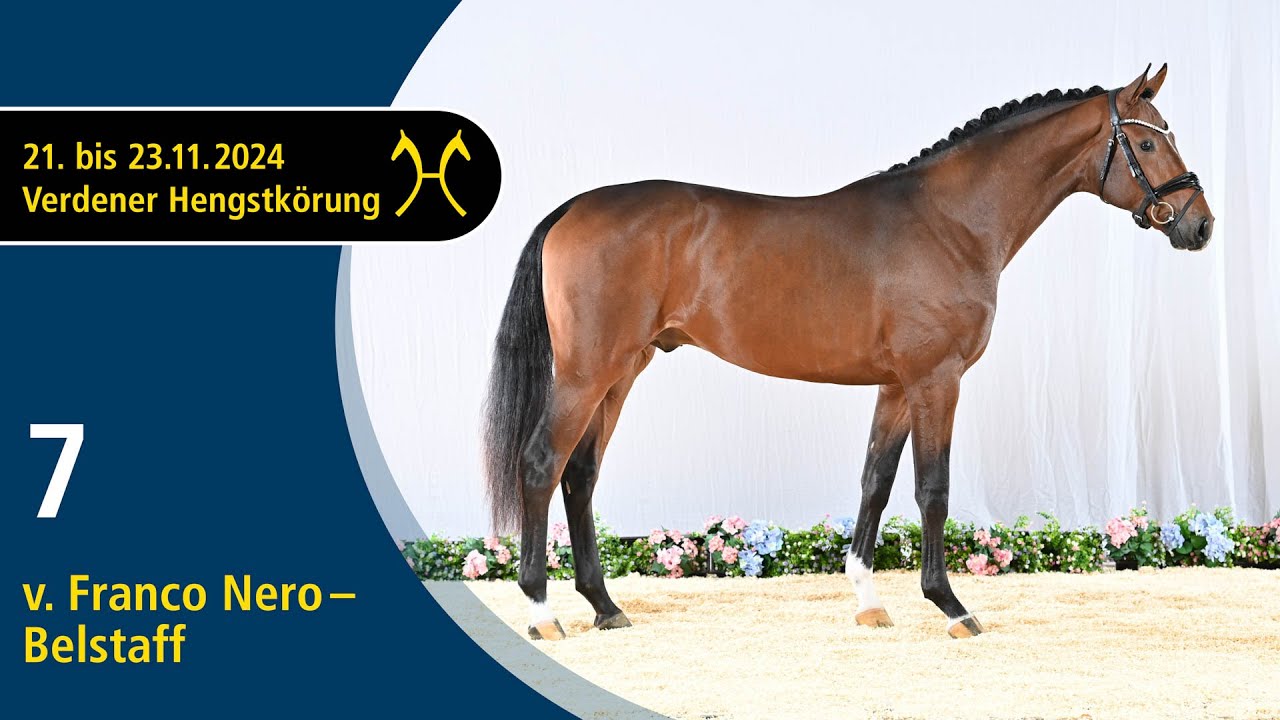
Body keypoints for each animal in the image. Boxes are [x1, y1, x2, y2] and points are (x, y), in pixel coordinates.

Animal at [482, 64, 1213, 640]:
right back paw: (544, 613)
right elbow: (932, 489)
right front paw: (951, 607)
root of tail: (573, 208)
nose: (1200, 225)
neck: (950, 223)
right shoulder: (936, 380)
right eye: (1147, 140)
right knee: (542, 464)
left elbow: (875, 484)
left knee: (580, 473)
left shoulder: (895, 387)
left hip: (621, 372)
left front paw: (868, 602)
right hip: (587, 373)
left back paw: (605, 607)